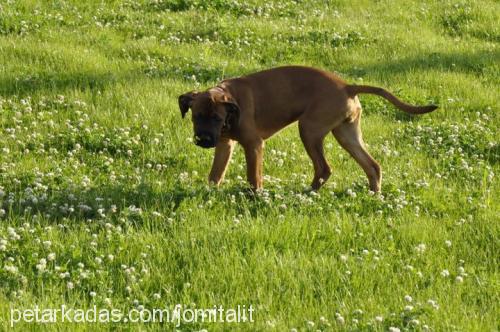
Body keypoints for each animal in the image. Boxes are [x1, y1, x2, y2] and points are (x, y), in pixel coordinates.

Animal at [178, 65, 436, 192]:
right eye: (196, 117)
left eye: (216, 118)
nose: (203, 140)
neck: (231, 103)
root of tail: (347, 86)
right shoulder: (224, 144)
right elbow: (215, 174)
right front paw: (209, 195)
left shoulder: (253, 145)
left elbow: (253, 176)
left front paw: (255, 196)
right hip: (347, 134)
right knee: (372, 166)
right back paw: (375, 195)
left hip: (309, 130)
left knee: (324, 168)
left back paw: (307, 194)